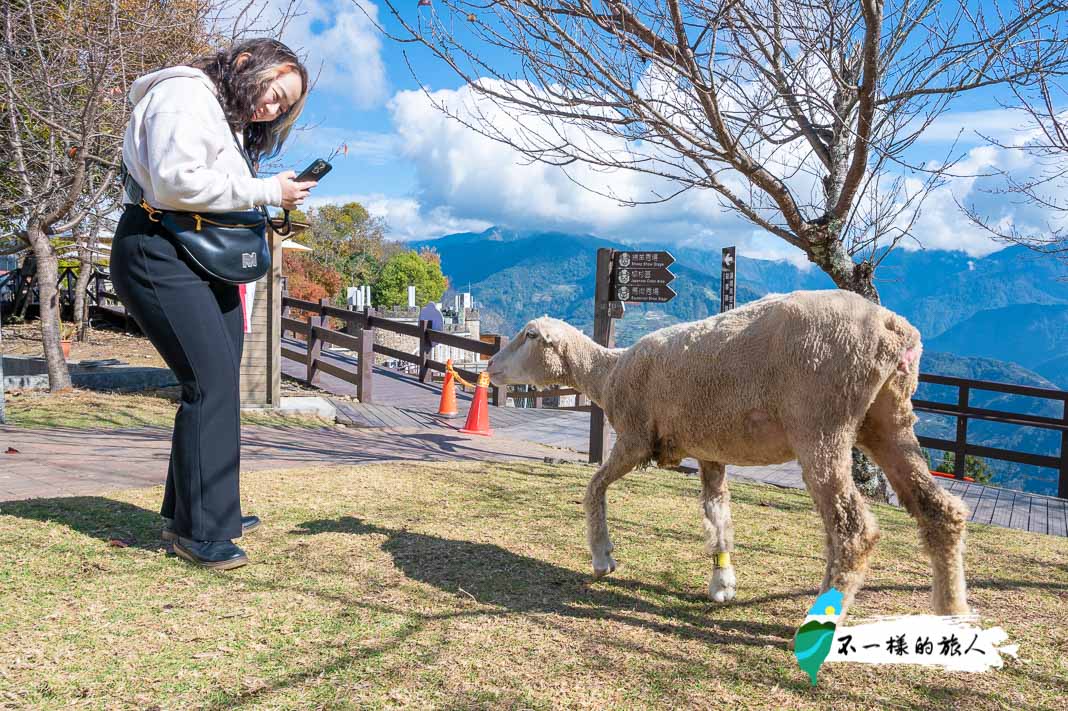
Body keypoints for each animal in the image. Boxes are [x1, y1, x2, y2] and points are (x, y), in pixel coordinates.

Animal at [489, 288, 974, 614]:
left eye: (529, 335)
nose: (491, 366)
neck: (608, 372)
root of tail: (895, 329)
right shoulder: (710, 450)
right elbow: (717, 515)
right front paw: (722, 582)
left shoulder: (634, 438)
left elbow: (593, 488)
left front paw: (602, 557)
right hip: (888, 420)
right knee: (941, 510)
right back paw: (952, 613)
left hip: (822, 421)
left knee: (853, 528)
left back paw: (821, 617)